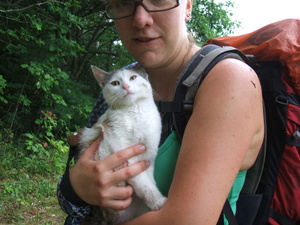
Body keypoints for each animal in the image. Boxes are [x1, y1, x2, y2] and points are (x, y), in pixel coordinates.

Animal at [79, 65, 166, 223]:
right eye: (115, 83)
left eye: (133, 78)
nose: (125, 86)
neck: (135, 113)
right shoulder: (125, 155)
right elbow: (144, 184)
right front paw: (158, 202)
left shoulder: (149, 157)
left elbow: (150, 181)